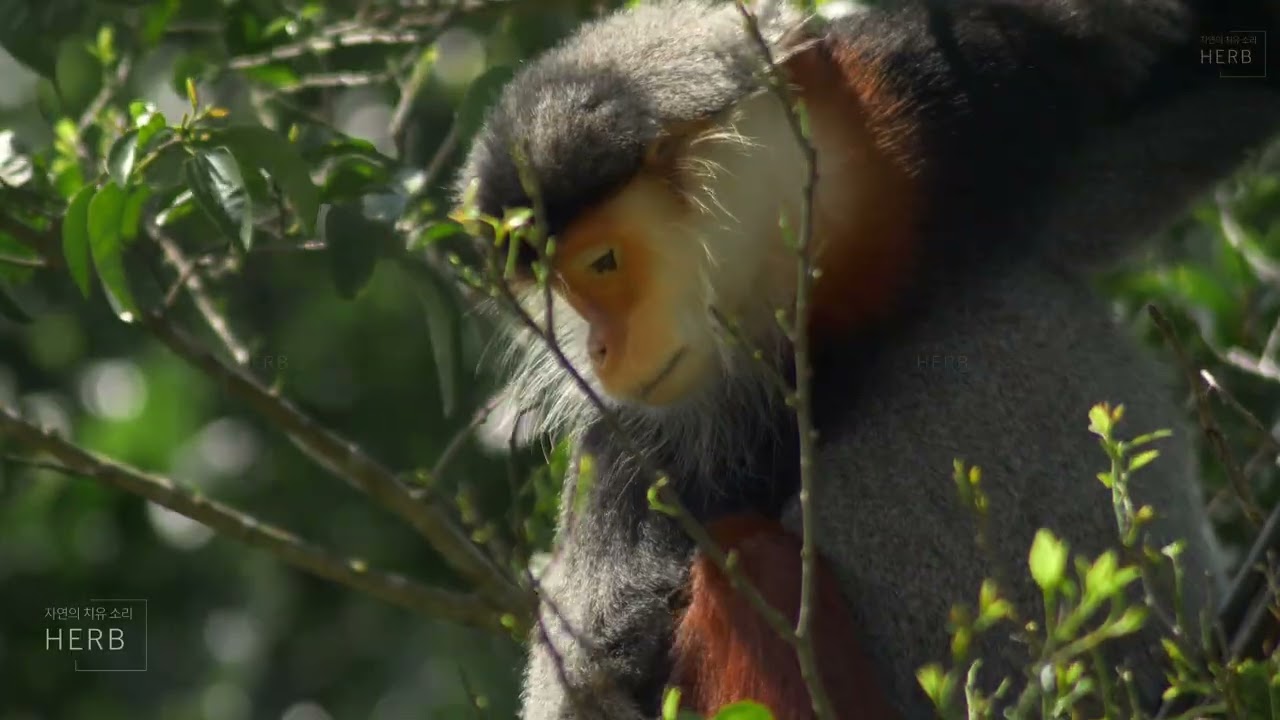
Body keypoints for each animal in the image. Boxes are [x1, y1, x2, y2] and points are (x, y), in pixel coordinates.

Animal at [452, 0, 1280, 718]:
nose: (597, 348)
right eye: (554, 285)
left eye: (602, 265)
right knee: (746, 557)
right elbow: (592, 678)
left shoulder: (920, 96)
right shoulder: (637, 448)